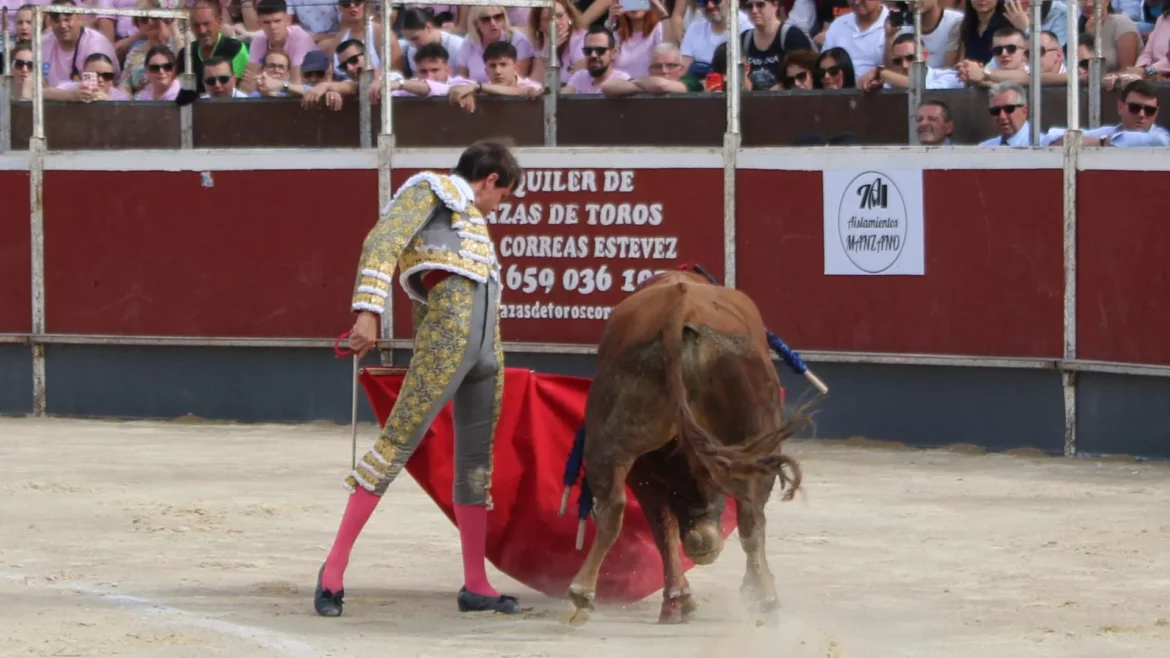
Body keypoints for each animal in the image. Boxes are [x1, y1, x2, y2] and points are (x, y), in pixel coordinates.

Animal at [561, 270, 809, 622]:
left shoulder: (647, 472)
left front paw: (679, 599)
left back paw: (581, 597)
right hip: (754, 438)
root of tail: (678, 309)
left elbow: (662, 525)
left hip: (616, 438)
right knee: (749, 516)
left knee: (613, 507)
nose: (703, 542)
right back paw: (763, 596)